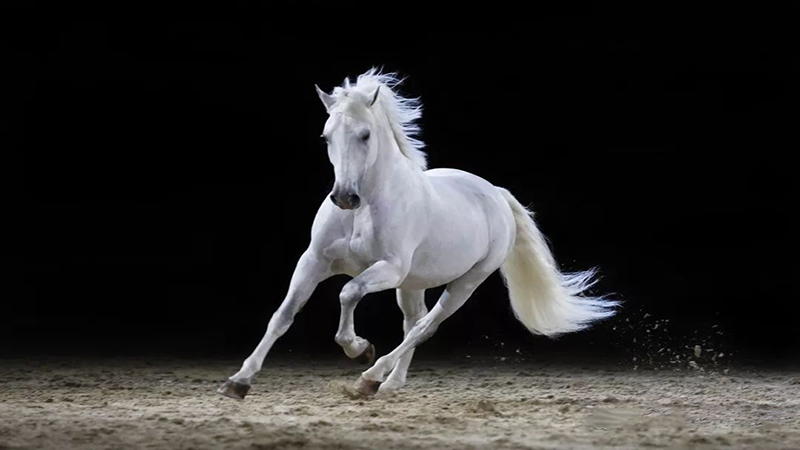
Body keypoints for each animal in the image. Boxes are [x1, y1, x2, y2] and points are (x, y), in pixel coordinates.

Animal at [218, 68, 617, 399]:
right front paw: (238, 382)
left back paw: (369, 378)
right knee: (413, 322)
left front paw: (358, 348)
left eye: (365, 135)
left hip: (465, 282)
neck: (364, 209)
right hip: (412, 283)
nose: (344, 197)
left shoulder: (389, 268)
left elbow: (348, 293)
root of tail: (495, 193)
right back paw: (389, 383)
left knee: (424, 326)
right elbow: (283, 314)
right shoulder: (314, 261)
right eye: (326, 136)